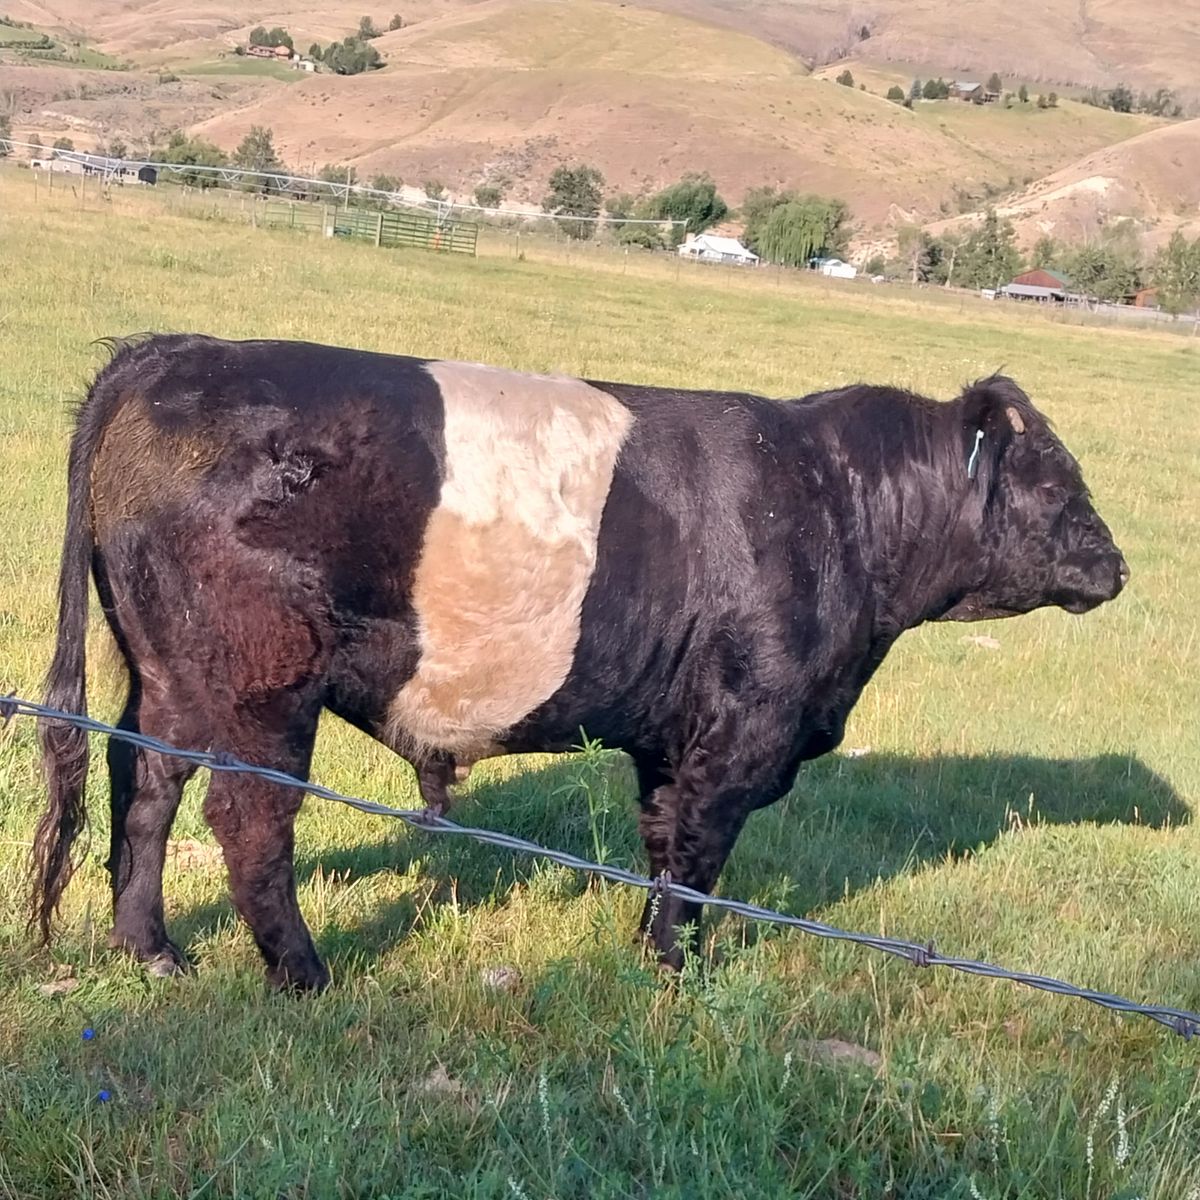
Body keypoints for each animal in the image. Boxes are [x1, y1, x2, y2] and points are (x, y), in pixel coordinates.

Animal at [31, 334, 1128, 991]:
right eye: (1052, 482)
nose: (1116, 565)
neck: (840, 505)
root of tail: (170, 352)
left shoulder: (675, 739)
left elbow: (665, 841)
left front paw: (652, 954)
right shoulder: (745, 725)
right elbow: (700, 857)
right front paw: (680, 975)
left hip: (170, 671)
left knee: (146, 781)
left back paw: (153, 950)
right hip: (264, 680)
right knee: (247, 816)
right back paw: (302, 974)